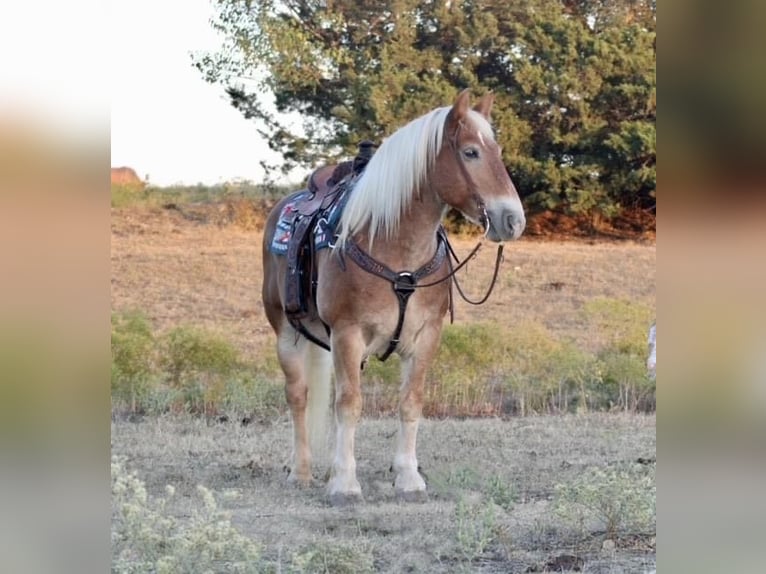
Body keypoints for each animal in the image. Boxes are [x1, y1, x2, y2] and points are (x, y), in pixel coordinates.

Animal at [264, 88, 528, 506]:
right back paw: (301, 471)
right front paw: (345, 483)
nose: (513, 221)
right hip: (286, 333)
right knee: (299, 396)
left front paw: (407, 476)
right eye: (470, 152)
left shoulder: (426, 337)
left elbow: (410, 402)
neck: (396, 248)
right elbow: (349, 405)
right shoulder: (347, 334)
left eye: (497, 151)